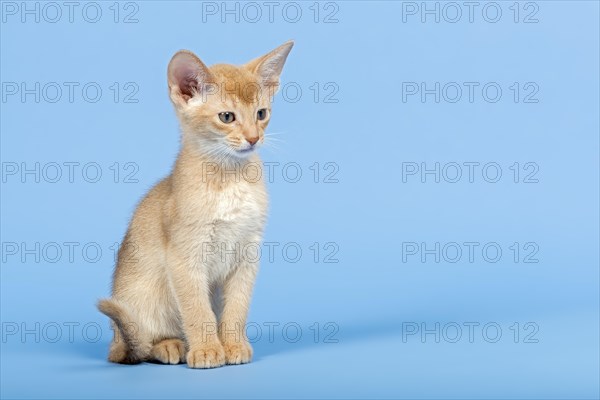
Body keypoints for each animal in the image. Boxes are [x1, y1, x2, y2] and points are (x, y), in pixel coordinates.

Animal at [98, 40, 292, 368]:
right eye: (227, 117)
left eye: (261, 113)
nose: (254, 138)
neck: (229, 179)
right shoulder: (184, 257)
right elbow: (197, 311)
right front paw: (207, 350)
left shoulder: (247, 253)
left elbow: (236, 308)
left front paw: (233, 345)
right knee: (139, 345)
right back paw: (171, 346)